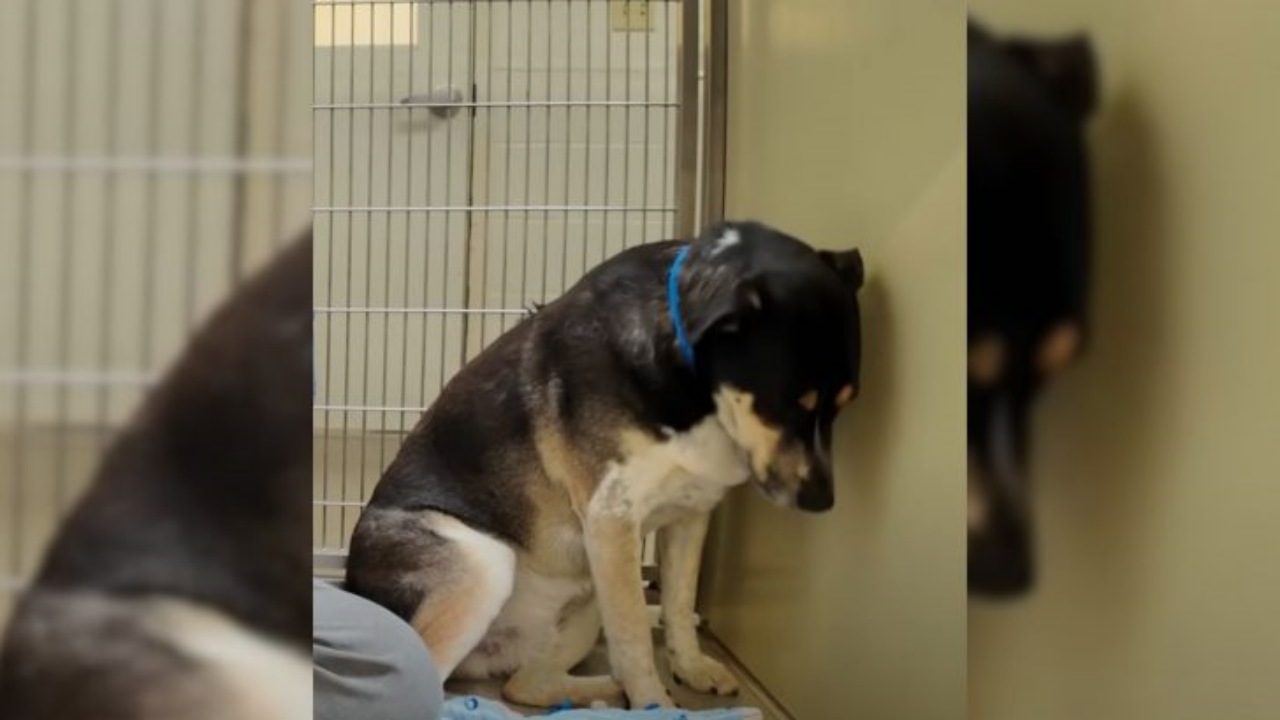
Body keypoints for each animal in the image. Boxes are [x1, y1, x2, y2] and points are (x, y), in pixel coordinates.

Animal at [345, 220, 865, 707]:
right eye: (786, 404)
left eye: (845, 404)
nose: (823, 501)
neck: (692, 388)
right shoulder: (611, 519)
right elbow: (634, 637)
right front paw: (655, 705)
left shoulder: (690, 514)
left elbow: (679, 604)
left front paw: (691, 668)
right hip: (484, 563)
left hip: (584, 601)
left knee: (526, 684)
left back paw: (604, 690)